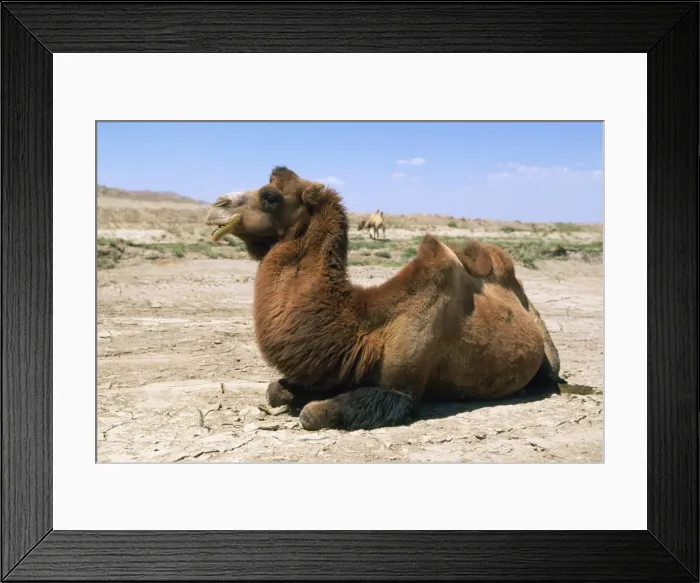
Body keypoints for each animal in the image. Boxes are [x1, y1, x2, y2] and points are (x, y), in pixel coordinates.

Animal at [206, 166, 562, 431]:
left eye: (270, 197)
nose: (216, 205)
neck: (365, 327)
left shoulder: (401, 391)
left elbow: (312, 414)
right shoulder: (333, 370)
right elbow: (274, 391)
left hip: (546, 345)